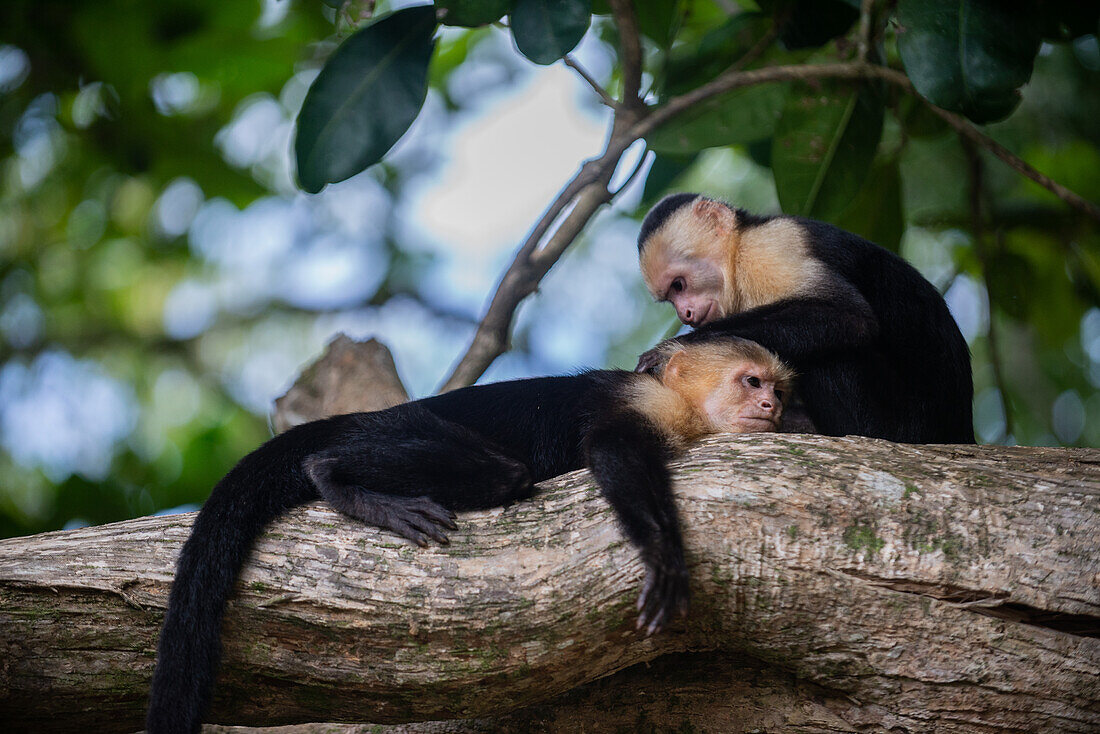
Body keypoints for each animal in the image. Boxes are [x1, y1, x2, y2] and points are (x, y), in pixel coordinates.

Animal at [148, 338, 792, 734]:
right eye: (751, 381)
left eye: (778, 390)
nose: (770, 405)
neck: (686, 408)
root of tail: (364, 418)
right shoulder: (650, 402)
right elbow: (611, 450)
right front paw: (662, 555)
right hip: (401, 428)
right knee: (498, 472)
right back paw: (334, 477)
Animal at [638, 193, 972, 442]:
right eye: (670, 297)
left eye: (679, 285)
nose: (685, 314)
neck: (737, 253)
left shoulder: (769, 247)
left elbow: (850, 316)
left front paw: (670, 348)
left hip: (904, 424)